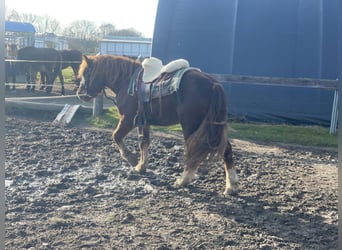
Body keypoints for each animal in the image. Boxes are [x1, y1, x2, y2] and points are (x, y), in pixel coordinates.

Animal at [76, 55, 239, 195]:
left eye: (86, 72)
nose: (80, 94)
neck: (126, 81)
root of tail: (213, 84)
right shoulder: (143, 121)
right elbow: (144, 143)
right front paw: (141, 166)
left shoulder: (127, 120)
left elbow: (116, 136)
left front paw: (131, 159)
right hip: (213, 127)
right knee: (226, 149)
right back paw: (231, 186)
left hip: (191, 127)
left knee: (194, 153)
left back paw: (183, 180)